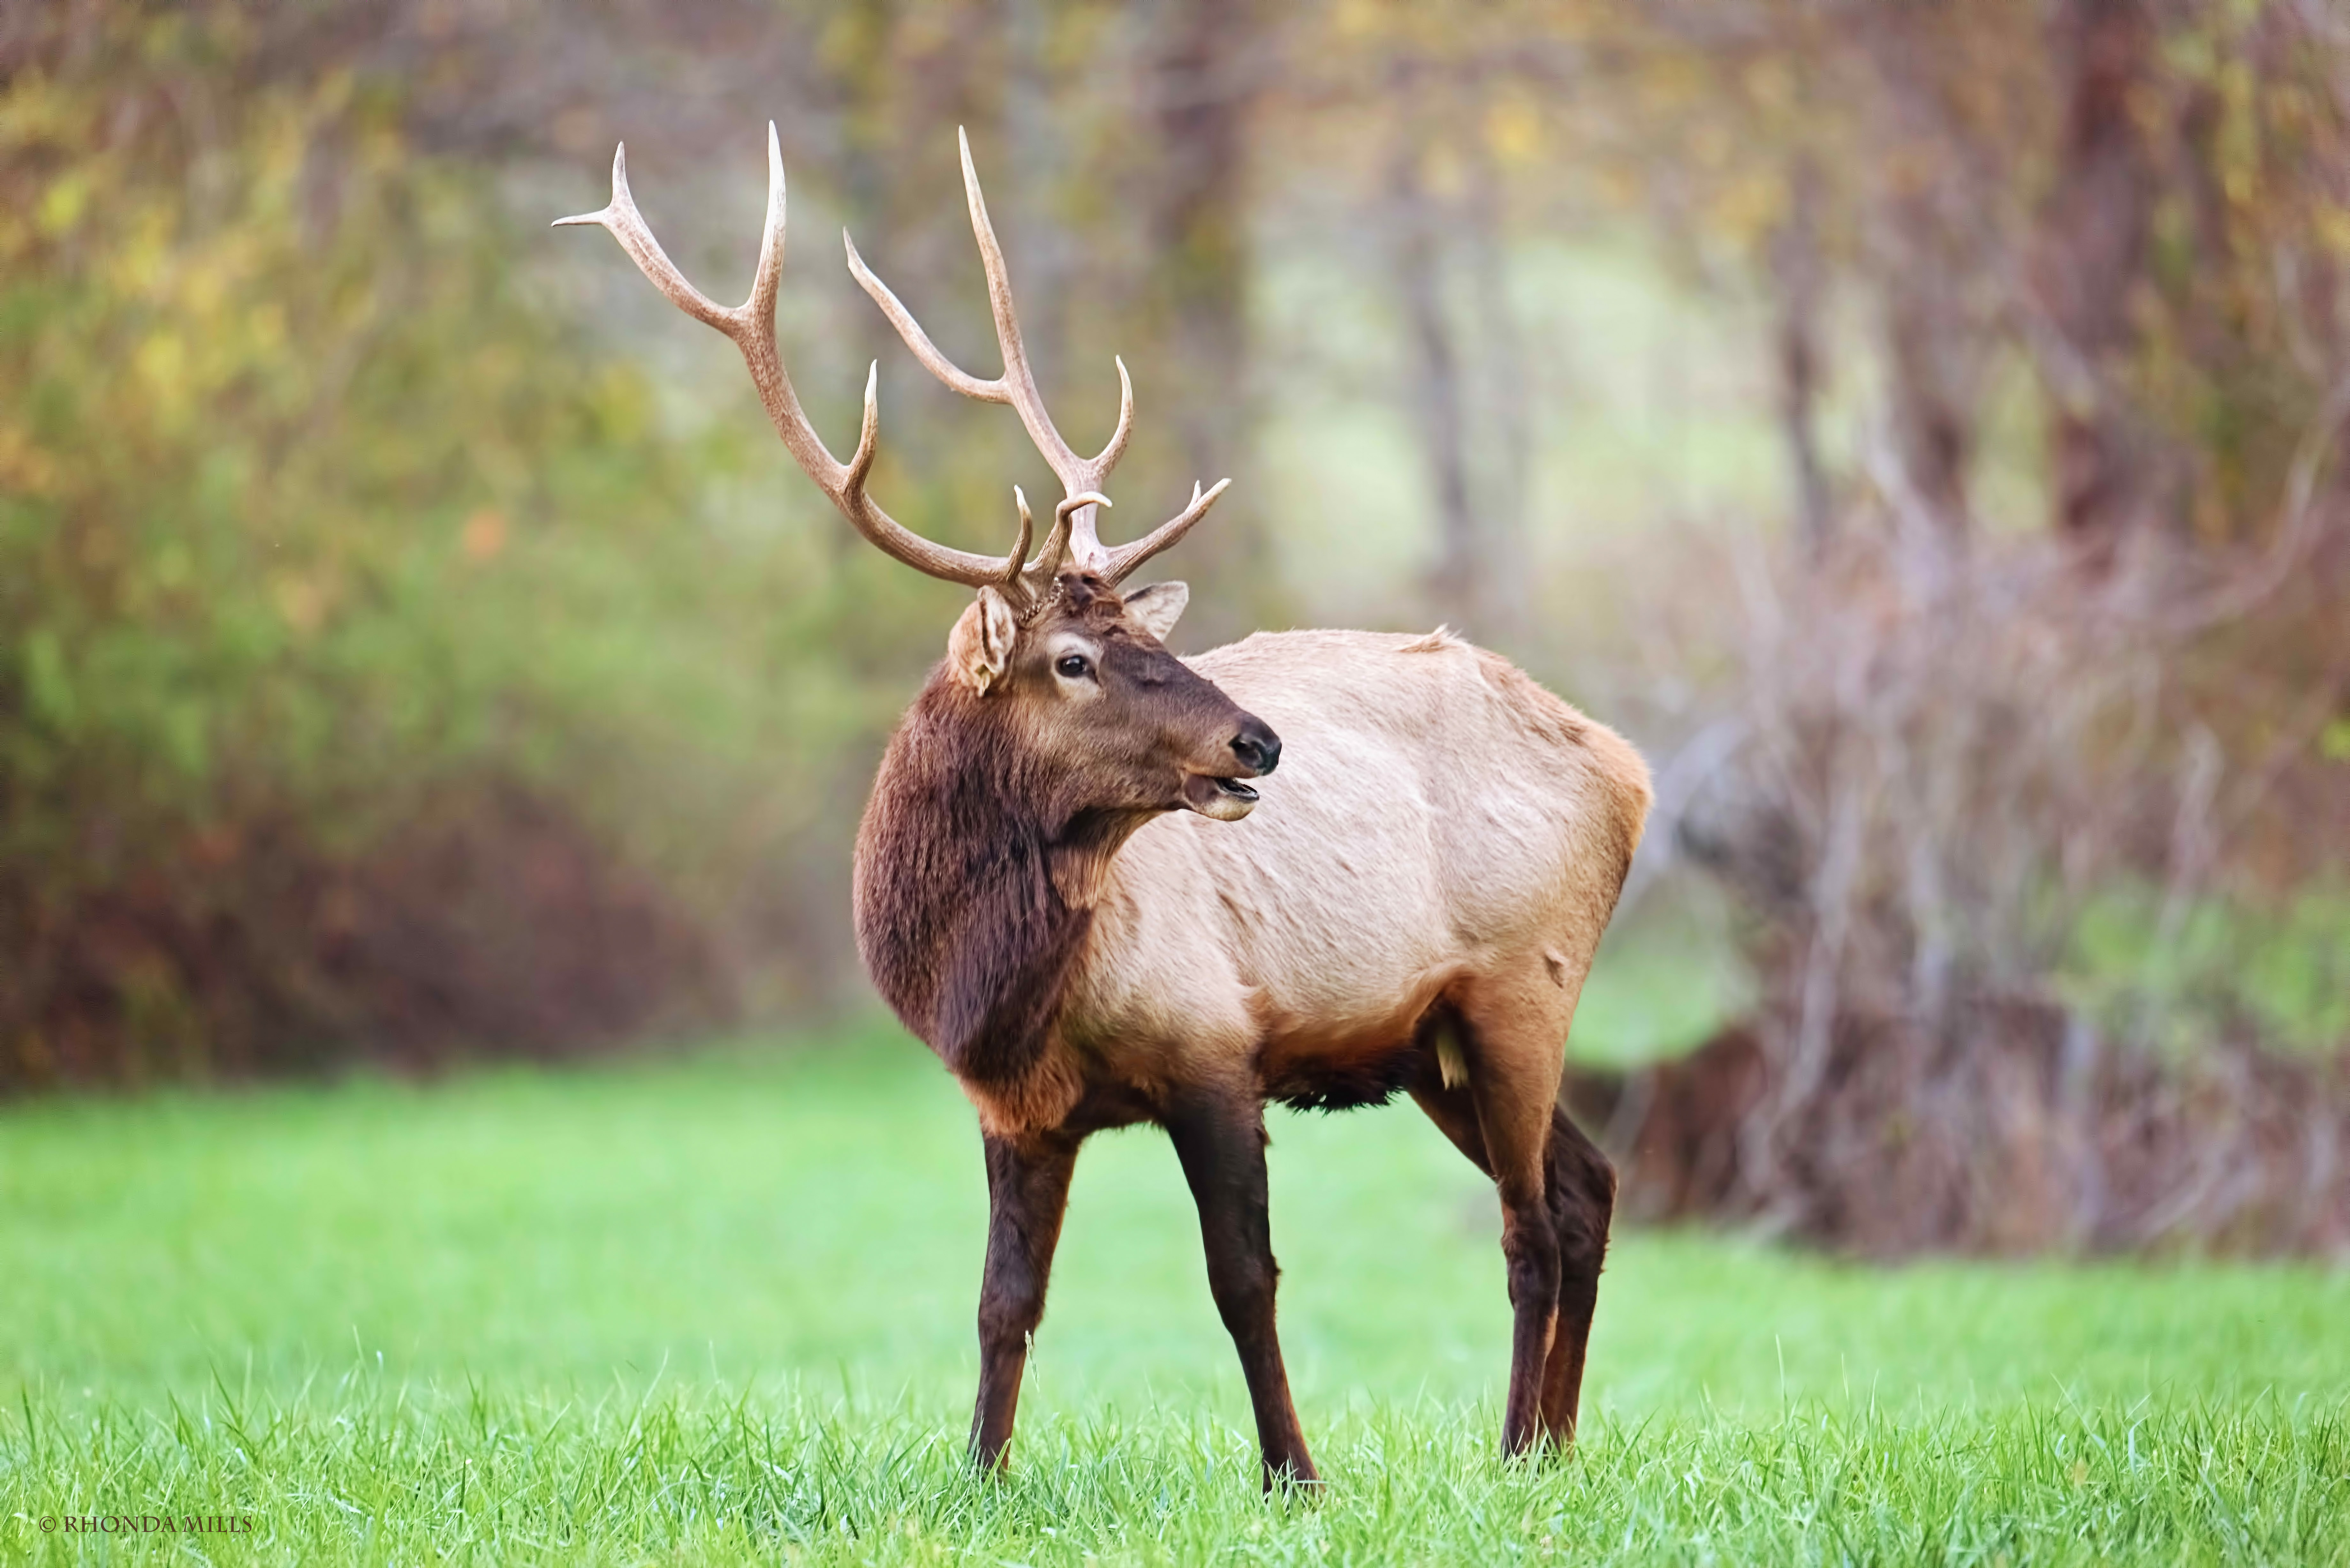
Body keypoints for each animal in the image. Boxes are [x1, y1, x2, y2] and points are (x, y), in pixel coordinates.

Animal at [554, 129, 1654, 1495]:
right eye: (1074, 657)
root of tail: (1628, 768)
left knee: (1531, 1223)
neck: (994, 984)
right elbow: (1003, 1299)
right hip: (1433, 1040)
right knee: (1587, 1186)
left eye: (1144, 634)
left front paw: (1294, 1476)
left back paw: (1511, 1453)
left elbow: (1244, 1282)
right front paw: (979, 1474)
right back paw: (1554, 1448)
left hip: (1521, 983)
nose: (1258, 738)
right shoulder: (1013, 1106)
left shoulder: (1214, 1046)